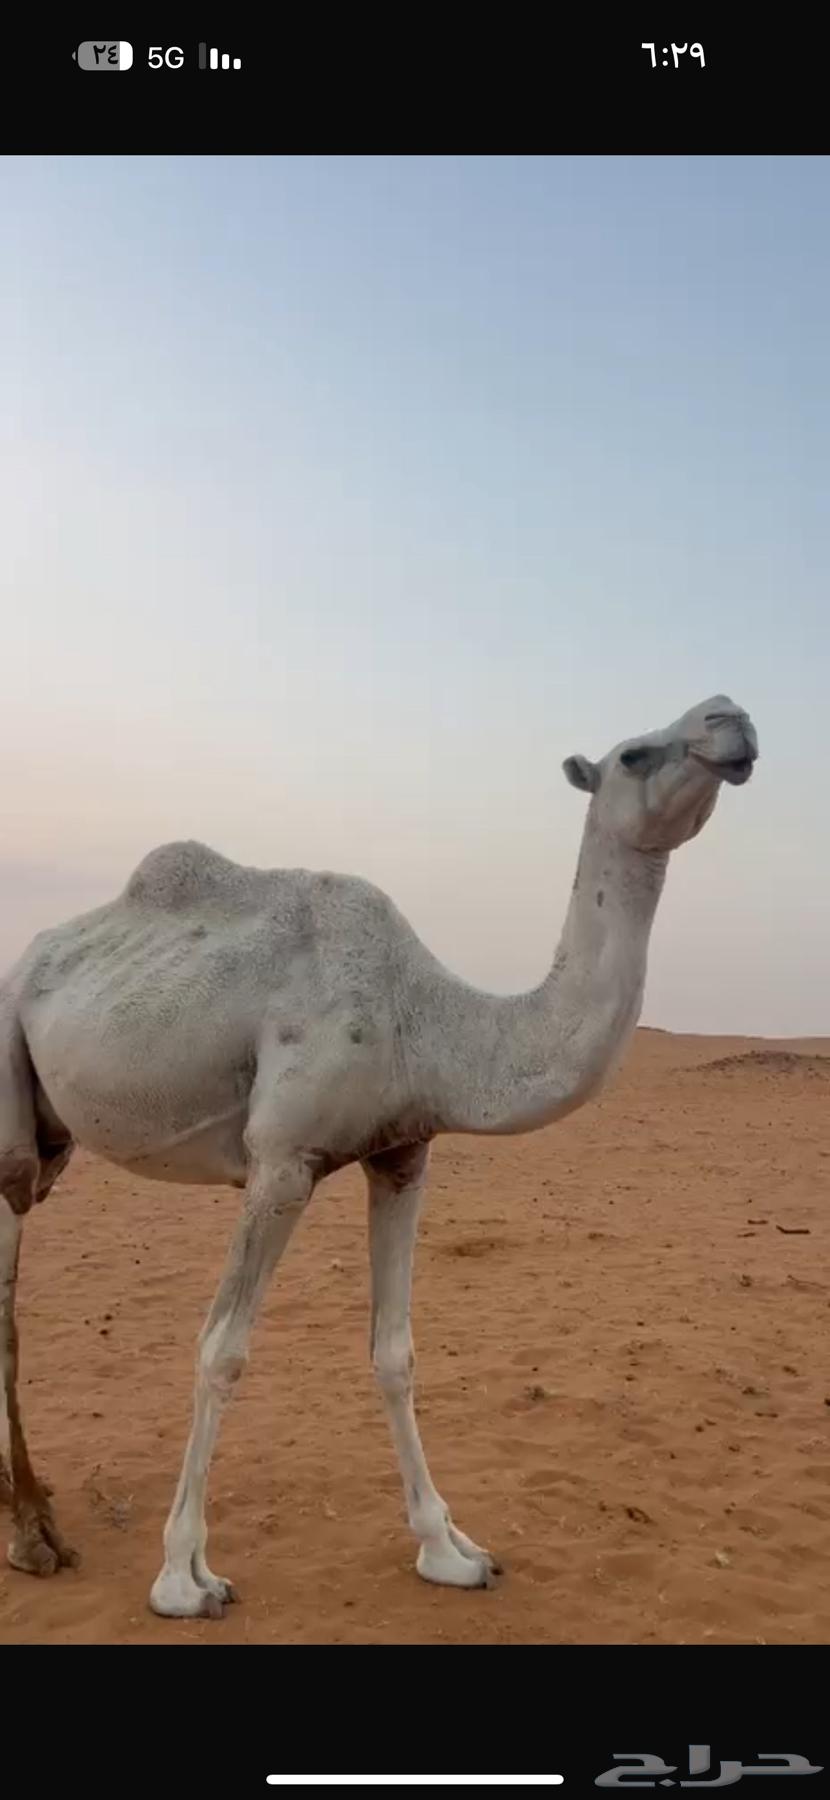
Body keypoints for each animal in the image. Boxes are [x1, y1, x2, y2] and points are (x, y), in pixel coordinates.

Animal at [0, 694, 758, 1618]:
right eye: (634, 755)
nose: (730, 716)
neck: (430, 1022)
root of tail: (29, 955)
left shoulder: (402, 1152)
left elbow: (395, 1352)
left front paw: (450, 1550)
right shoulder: (281, 1158)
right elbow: (222, 1350)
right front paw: (183, 1577)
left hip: (55, 1140)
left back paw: (34, 1512)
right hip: (8, 1079)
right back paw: (33, 1535)